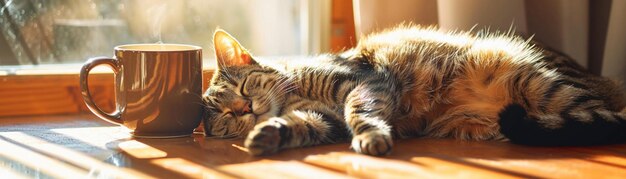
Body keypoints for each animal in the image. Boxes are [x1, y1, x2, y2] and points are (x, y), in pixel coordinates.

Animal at [200, 25, 624, 156]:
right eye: (224, 117)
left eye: (242, 85)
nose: (245, 109)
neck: (296, 95)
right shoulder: (324, 121)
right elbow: (301, 126)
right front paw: (268, 134)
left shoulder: (362, 82)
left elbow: (360, 111)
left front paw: (371, 137)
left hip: (540, 83)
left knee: (615, 120)